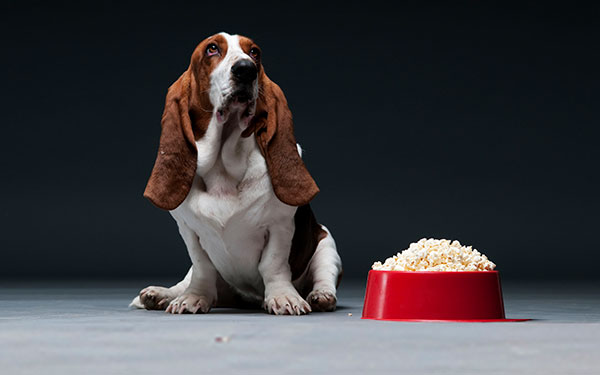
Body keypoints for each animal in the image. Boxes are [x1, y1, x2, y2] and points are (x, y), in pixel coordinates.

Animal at [131, 32, 342, 316]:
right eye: (212, 49)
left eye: (254, 52)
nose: (246, 70)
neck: (223, 168)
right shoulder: (189, 231)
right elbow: (202, 267)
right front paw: (194, 297)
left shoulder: (279, 226)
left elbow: (273, 265)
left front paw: (283, 297)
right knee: (189, 280)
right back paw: (160, 294)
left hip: (326, 244)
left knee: (323, 275)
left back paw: (321, 296)